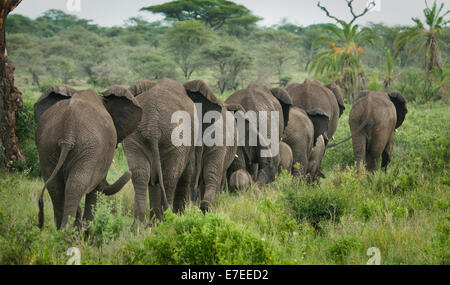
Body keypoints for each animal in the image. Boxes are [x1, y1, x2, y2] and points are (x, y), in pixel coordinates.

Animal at [34, 85, 142, 229]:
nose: (129, 172)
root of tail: (69, 124)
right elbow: (96, 189)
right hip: (89, 149)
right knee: (75, 185)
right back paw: (67, 231)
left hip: (48, 145)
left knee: (55, 187)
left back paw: (60, 231)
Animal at [122, 77, 196, 222]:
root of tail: (152, 123)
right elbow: (187, 171)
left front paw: (155, 222)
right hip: (176, 138)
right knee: (169, 177)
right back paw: (168, 220)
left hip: (135, 135)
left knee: (141, 175)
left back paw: (139, 224)